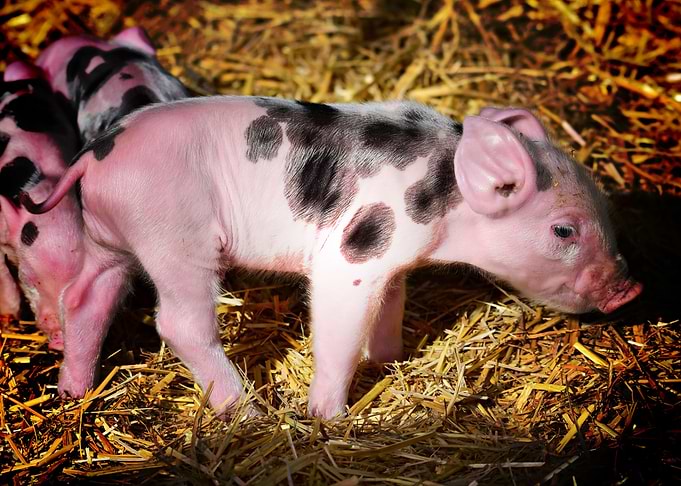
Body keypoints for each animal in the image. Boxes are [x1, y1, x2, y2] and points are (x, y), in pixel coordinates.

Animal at [22, 97, 642, 419]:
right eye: (563, 229)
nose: (629, 289)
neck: (446, 202)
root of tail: (93, 155)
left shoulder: (393, 259)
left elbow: (391, 307)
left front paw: (391, 362)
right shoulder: (354, 255)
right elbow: (338, 330)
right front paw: (329, 417)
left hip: (111, 239)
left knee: (85, 296)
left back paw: (72, 393)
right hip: (172, 237)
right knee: (177, 323)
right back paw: (248, 414)